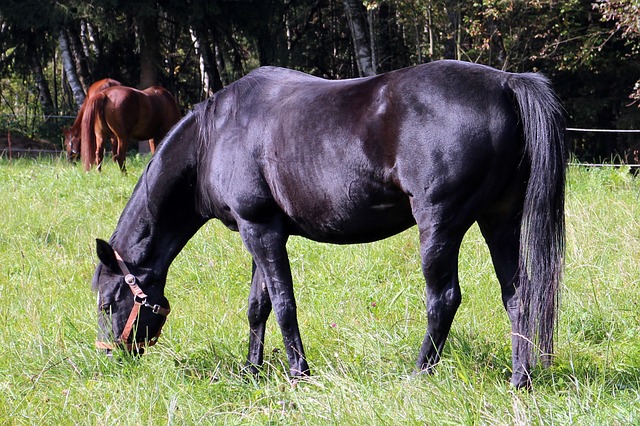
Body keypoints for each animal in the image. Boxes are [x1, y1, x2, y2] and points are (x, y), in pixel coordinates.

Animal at [91, 60, 564, 390]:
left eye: (108, 302)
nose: (111, 356)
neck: (215, 135)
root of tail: (506, 83)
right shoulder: (259, 231)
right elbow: (258, 306)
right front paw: (251, 370)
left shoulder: (261, 232)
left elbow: (284, 304)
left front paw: (298, 372)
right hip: (499, 222)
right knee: (518, 296)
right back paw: (519, 380)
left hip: (439, 227)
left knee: (443, 300)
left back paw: (419, 374)